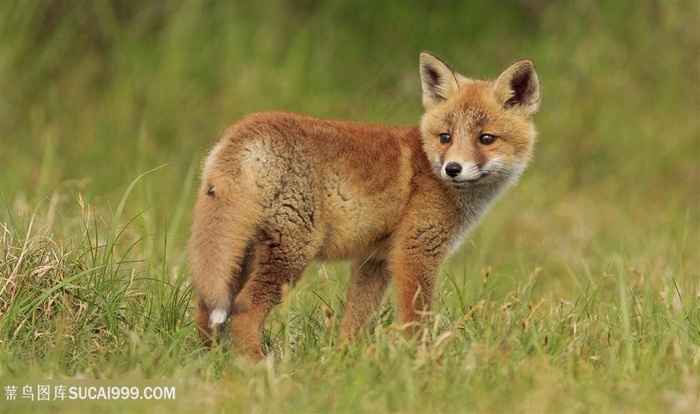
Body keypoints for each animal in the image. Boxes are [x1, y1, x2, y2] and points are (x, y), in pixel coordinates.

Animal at [187, 51, 540, 356]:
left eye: (486, 139)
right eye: (446, 137)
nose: (452, 169)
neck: (429, 168)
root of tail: (243, 131)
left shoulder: (374, 260)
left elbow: (356, 322)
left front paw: (345, 362)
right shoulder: (415, 252)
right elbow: (414, 321)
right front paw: (417, 362)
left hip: (239, 252)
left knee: (206, 306)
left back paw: (212, 361)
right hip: (292, 252)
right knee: (244, 309)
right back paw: (256, 366)